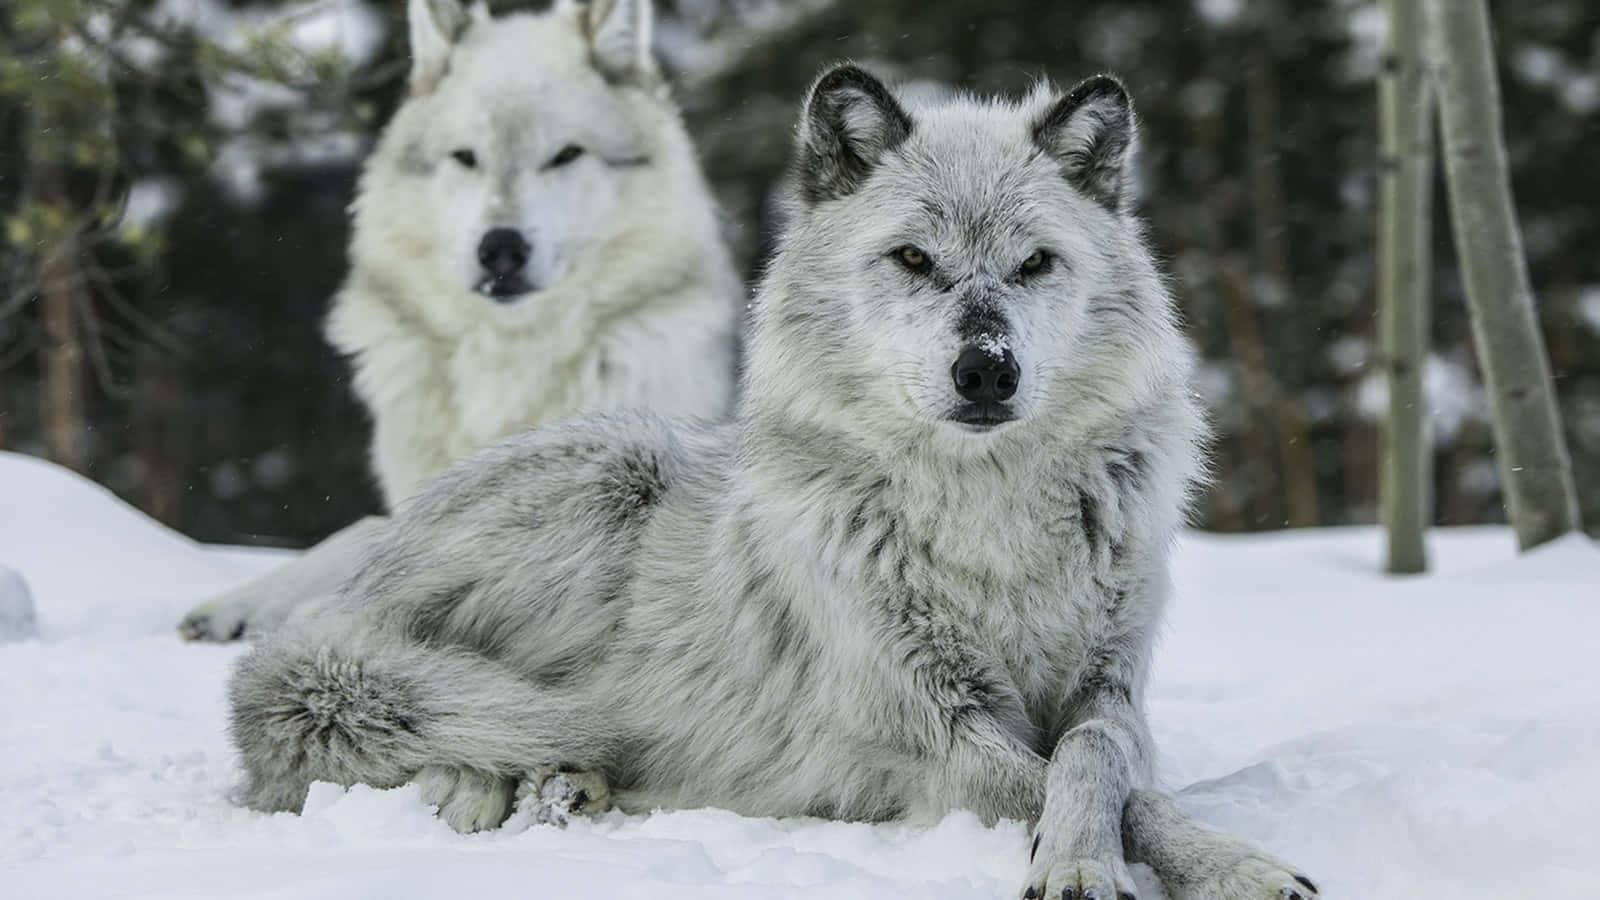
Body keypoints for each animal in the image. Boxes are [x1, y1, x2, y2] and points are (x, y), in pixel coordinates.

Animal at [178, 0, 741, 641]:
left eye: (565, 155)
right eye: (466, 158)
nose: (500, 249)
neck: (509, 366)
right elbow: (363, 532)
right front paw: (242, 602)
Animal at [227, 65, 1318, 900]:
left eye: (1035, 263)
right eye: (913, 258)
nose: (986, 370)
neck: (985, 519)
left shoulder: (1111, 690)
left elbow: (1104, 769)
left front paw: (1220, 864)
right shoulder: (926, 729)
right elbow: (1077, 788)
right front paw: (1101, 867)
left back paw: (570, 787)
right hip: (609, 476)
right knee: (376, 718)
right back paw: (499, 784)